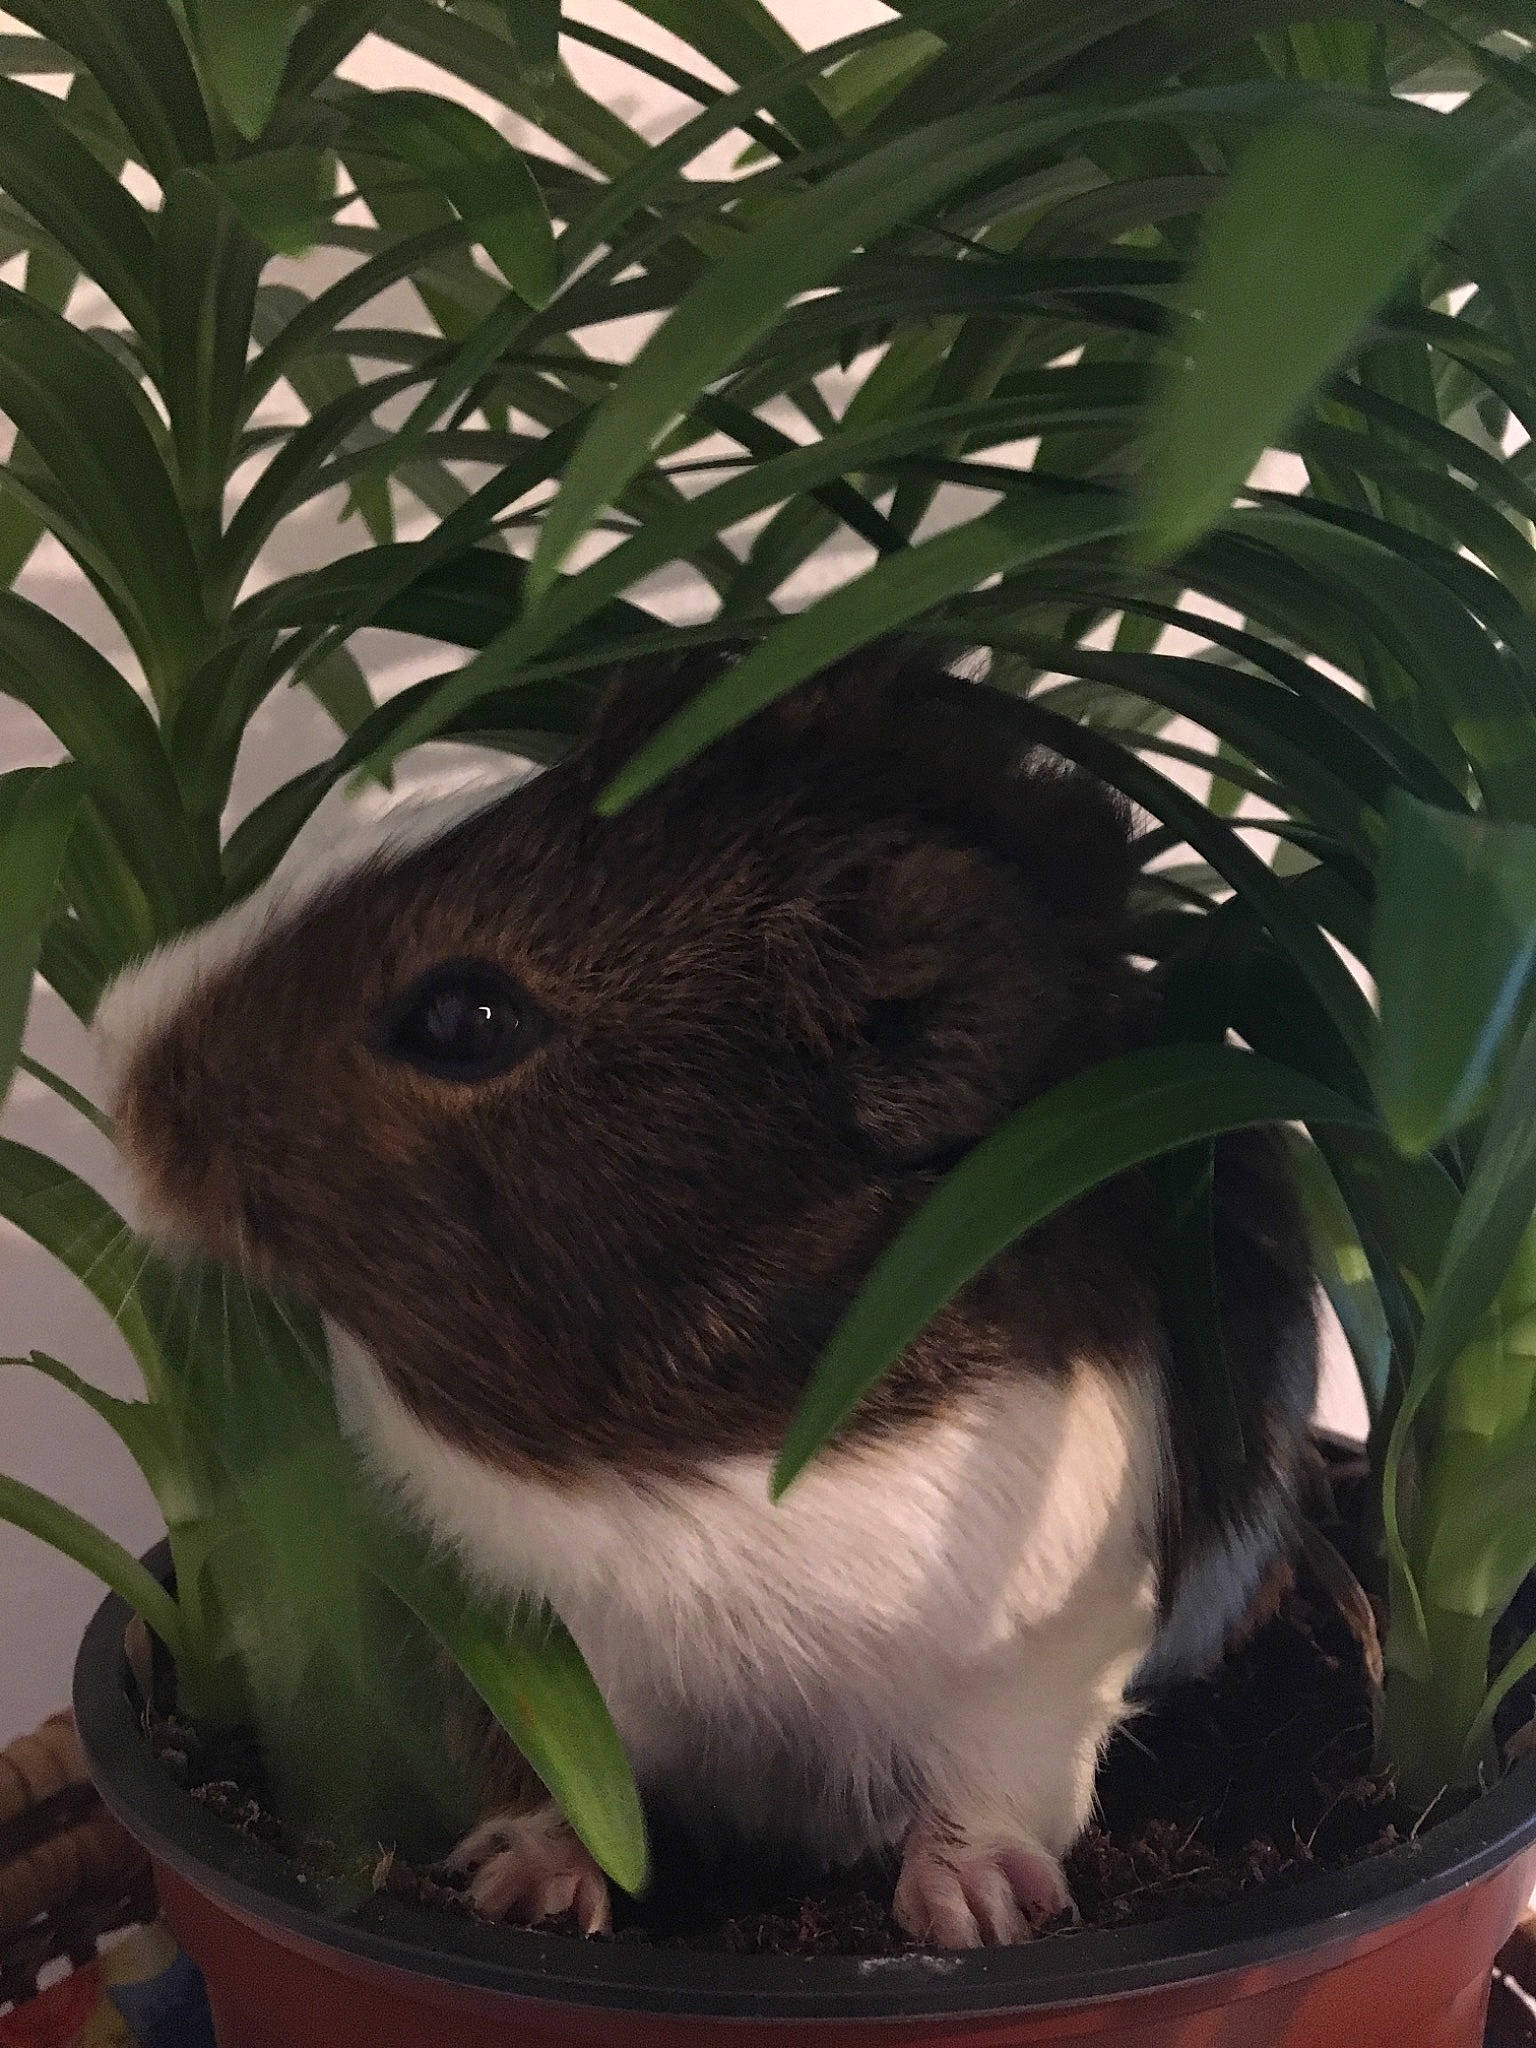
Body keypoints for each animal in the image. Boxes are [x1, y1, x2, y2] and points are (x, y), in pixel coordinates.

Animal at [95, 647, 1317, 1949]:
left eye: (466, 1016)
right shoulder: (518, 1638)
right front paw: (524, 1893)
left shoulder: (1041, 1652)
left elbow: (988, 1796)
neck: (690, 1479)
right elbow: (548, 1786)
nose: (111, 1043)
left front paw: (974, 1917)